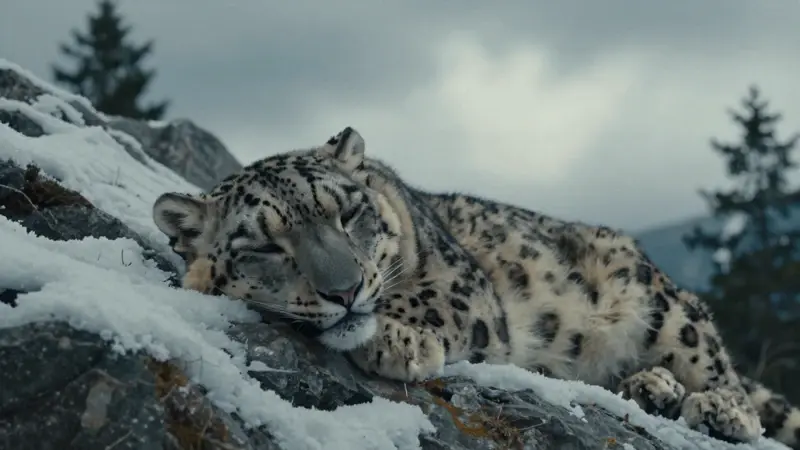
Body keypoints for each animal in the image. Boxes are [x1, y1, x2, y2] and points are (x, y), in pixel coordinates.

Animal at [152, 126, 800, 448]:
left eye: (349, 213)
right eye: (264, 247)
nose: (345, 290)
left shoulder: (465, 283)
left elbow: (429, 296)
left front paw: (397, 339)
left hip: (660, 303)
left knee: (717, 363)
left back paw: (716, 407)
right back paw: (651, 387)